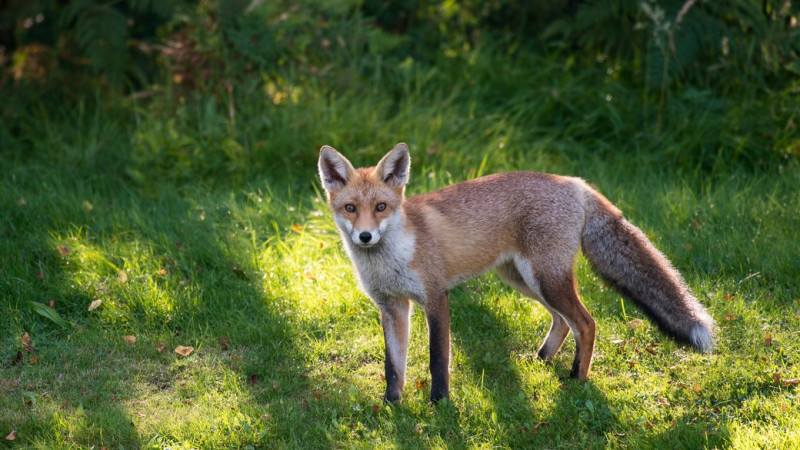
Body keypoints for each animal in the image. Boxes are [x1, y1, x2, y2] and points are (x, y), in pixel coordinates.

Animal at [318, 142, 720, 402]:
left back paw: (577, 379)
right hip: (524, 280)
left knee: (586, 323)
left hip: (545, 278)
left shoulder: (435, 298)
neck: (391, 259)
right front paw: (392, 405)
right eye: (351, 208)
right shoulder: (392, 308)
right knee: (563, 322)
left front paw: (440, 404)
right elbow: (393, 365)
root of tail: (575, 182)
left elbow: (437, 360)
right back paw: (542, 359)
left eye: (381, 207)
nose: (365, 236)